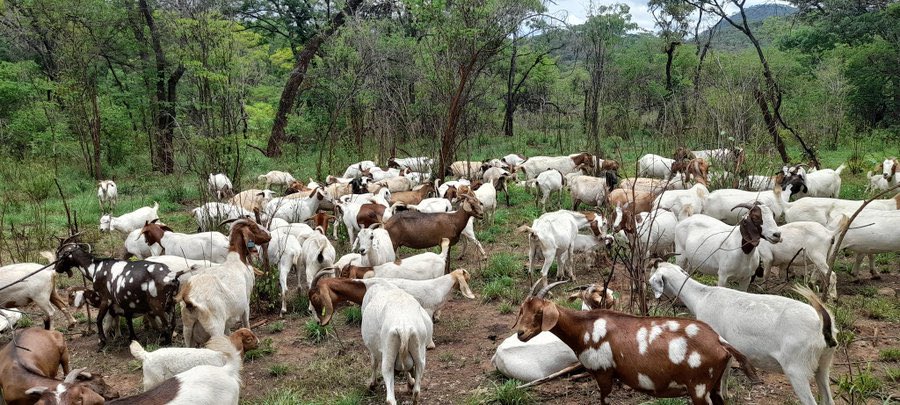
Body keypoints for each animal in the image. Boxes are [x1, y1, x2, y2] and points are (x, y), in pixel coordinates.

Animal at [512, 280, 760, 404]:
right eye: (522, 309)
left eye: (540, 313)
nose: (521, 334)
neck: (585, 328)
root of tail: (721, 343)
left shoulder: (603, 373)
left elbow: (604, 400)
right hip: (714, 385)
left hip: (698, 386)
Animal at [652, 262, 836, 404]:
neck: (703, 297)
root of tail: (823, 325)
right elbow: (725, 374)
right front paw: (726, 395)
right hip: (823, 365)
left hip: (797, 368)